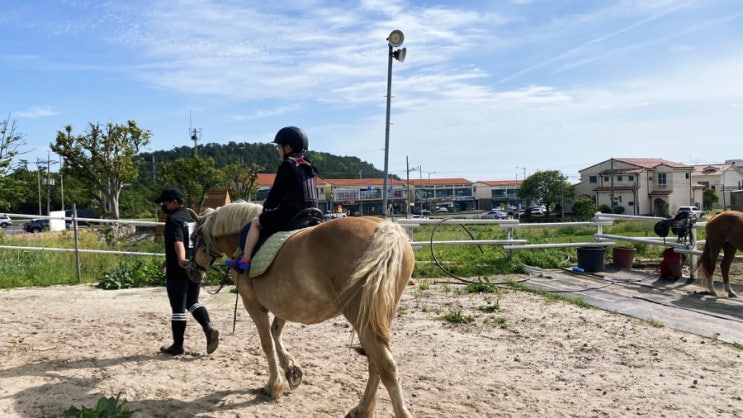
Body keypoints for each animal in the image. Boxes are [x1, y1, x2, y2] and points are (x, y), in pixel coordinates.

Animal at [186, 201, 416, 416]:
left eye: (194, 237)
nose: (191, 271)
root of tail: (385, 228)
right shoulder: (284, 304)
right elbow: (275, 332)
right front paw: (291, 369)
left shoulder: (254, 305)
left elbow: (267, 344)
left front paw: (274, 385)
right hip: (376, 315)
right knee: (374, 363)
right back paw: (361, 410)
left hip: (362, 317)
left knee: (385, 365)